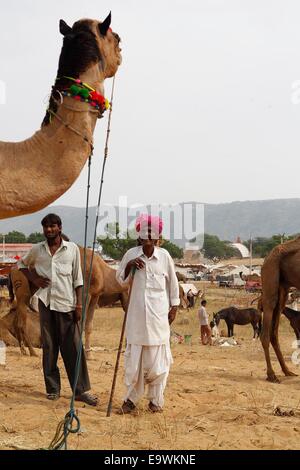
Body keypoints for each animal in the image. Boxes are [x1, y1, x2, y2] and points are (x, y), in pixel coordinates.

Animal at [258, 237, 300, 384]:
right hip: (270, 272)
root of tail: (267, 257)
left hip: (283, 288)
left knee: (273, 333)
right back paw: (272, 375)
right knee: (265, 333)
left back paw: (287, 371)